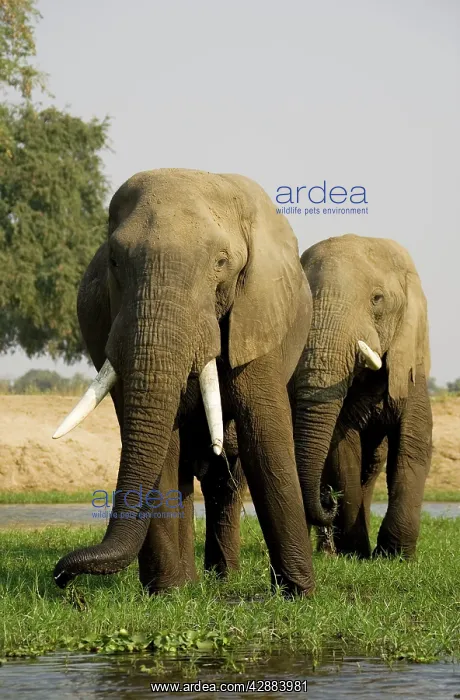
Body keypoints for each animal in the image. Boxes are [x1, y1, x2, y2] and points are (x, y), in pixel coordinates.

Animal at [52, 168, 315, 597]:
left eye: (222, 262)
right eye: (113, 261)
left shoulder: (258, 315)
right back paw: (191, 584)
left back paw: (223, 577)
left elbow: (265, 429)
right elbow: (160, 445)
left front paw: (299, 595)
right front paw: (168, 593)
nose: (63, 577)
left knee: (226, 480)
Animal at [291, 233, 432, 559]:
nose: (330, 499)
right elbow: (342, 450)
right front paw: (354, 554)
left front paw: (395, 556)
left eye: (377, 299)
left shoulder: (412, 365)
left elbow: (412, 444)